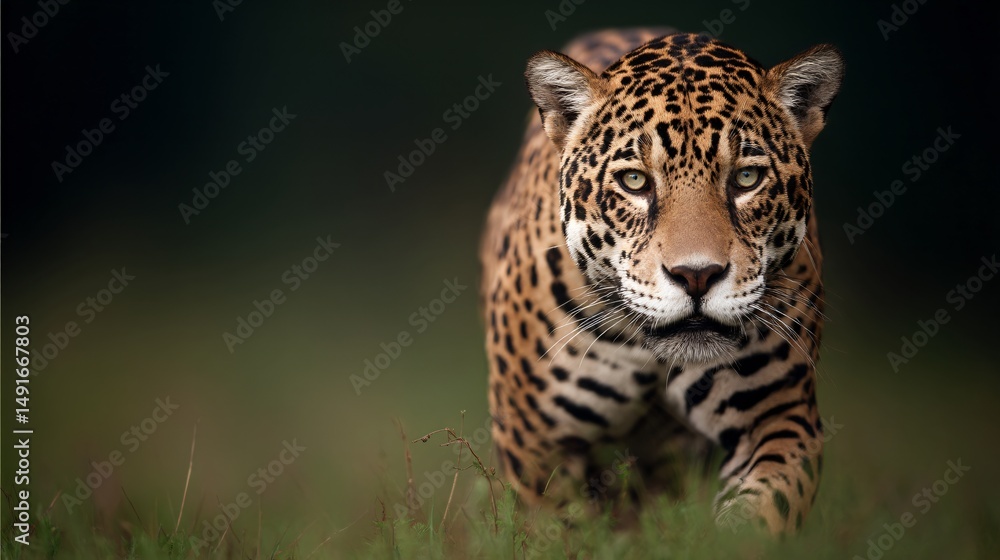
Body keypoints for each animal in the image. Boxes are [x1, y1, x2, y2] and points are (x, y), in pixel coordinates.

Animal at [479, 27, 843, 533]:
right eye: (635, 181)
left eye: (747, 178)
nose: (697, 276)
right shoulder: (535, 445)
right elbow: (559, 531)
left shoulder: (779, 417)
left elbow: (761, 514)